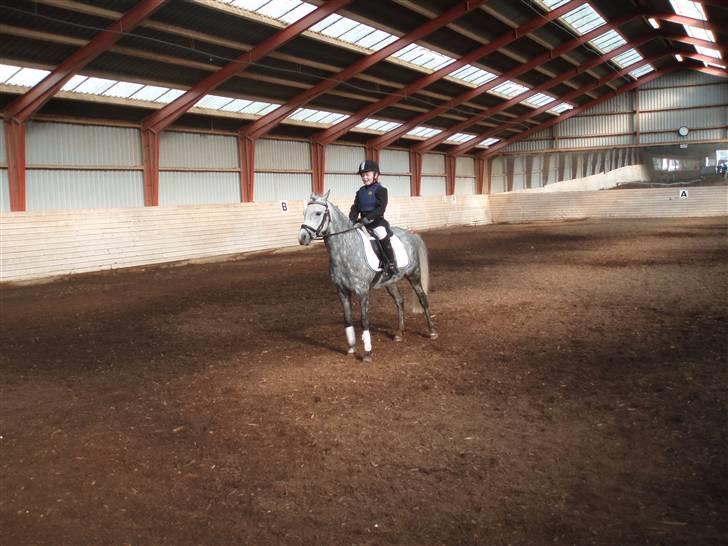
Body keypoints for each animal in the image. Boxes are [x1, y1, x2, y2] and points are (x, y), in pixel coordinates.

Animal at [298, 189, 438, 360]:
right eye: (304, 213)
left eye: (318, 213)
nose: (302, 237)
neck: (345, 250)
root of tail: (410, 233)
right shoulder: (342, 291)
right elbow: (348, 320)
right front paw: (351, 348)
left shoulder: (362, 292)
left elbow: (364, 321)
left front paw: (367, 353)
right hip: (390, 282)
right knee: (399, 301)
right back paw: (399, 333)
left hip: (414, 275)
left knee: (423, 299)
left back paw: (432, 332)